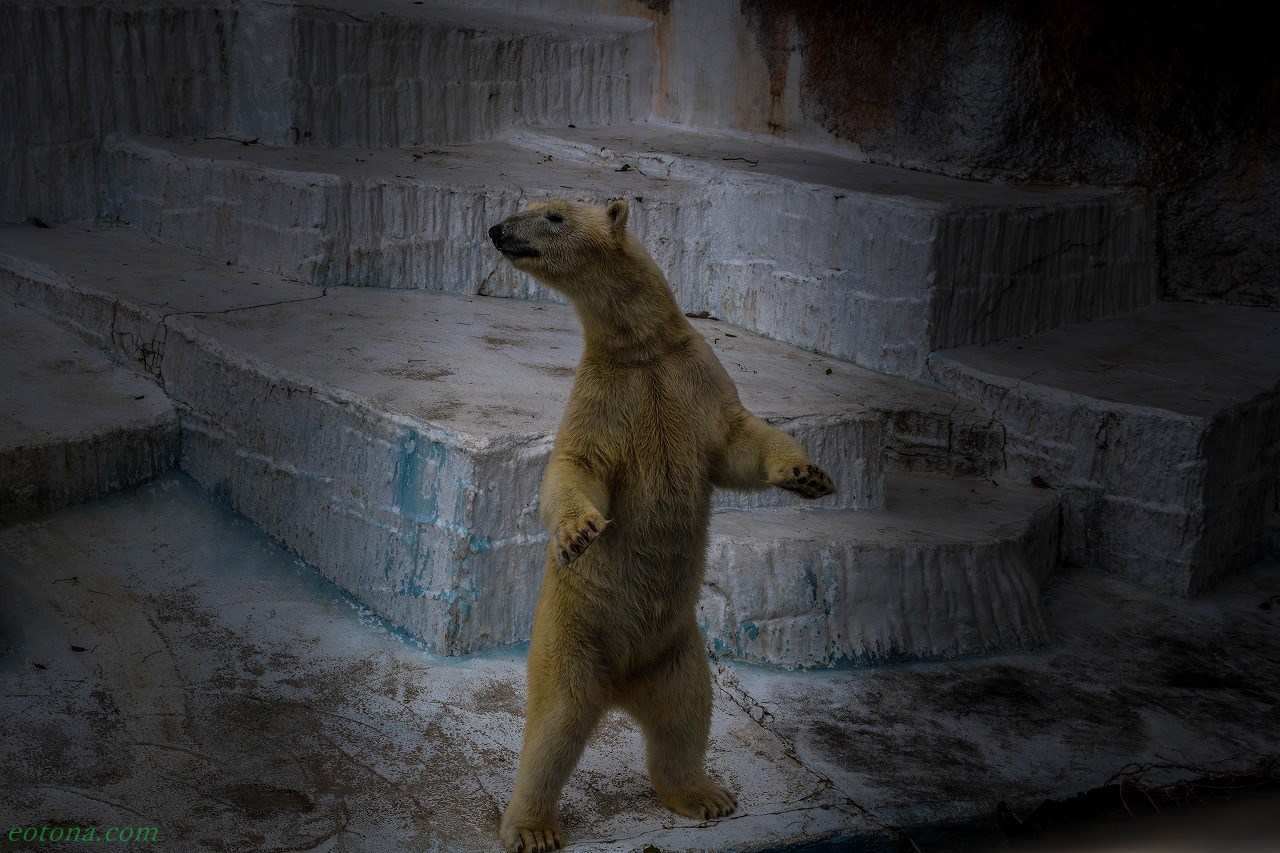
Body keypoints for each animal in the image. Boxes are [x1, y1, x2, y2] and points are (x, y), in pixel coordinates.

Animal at [483, 195, 834, 845]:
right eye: (527, 208)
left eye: (553, 215)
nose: (498, 230)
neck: (641, 347)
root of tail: (620, 686)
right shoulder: (606, 398)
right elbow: (576, 465)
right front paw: (579, 533)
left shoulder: (690, 378)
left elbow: (739, 442)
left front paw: (808, 475)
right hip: (573, 638)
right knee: (554, 727)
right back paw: (533, 826)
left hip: (676, 649)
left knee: (685, 715)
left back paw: (704, 795)